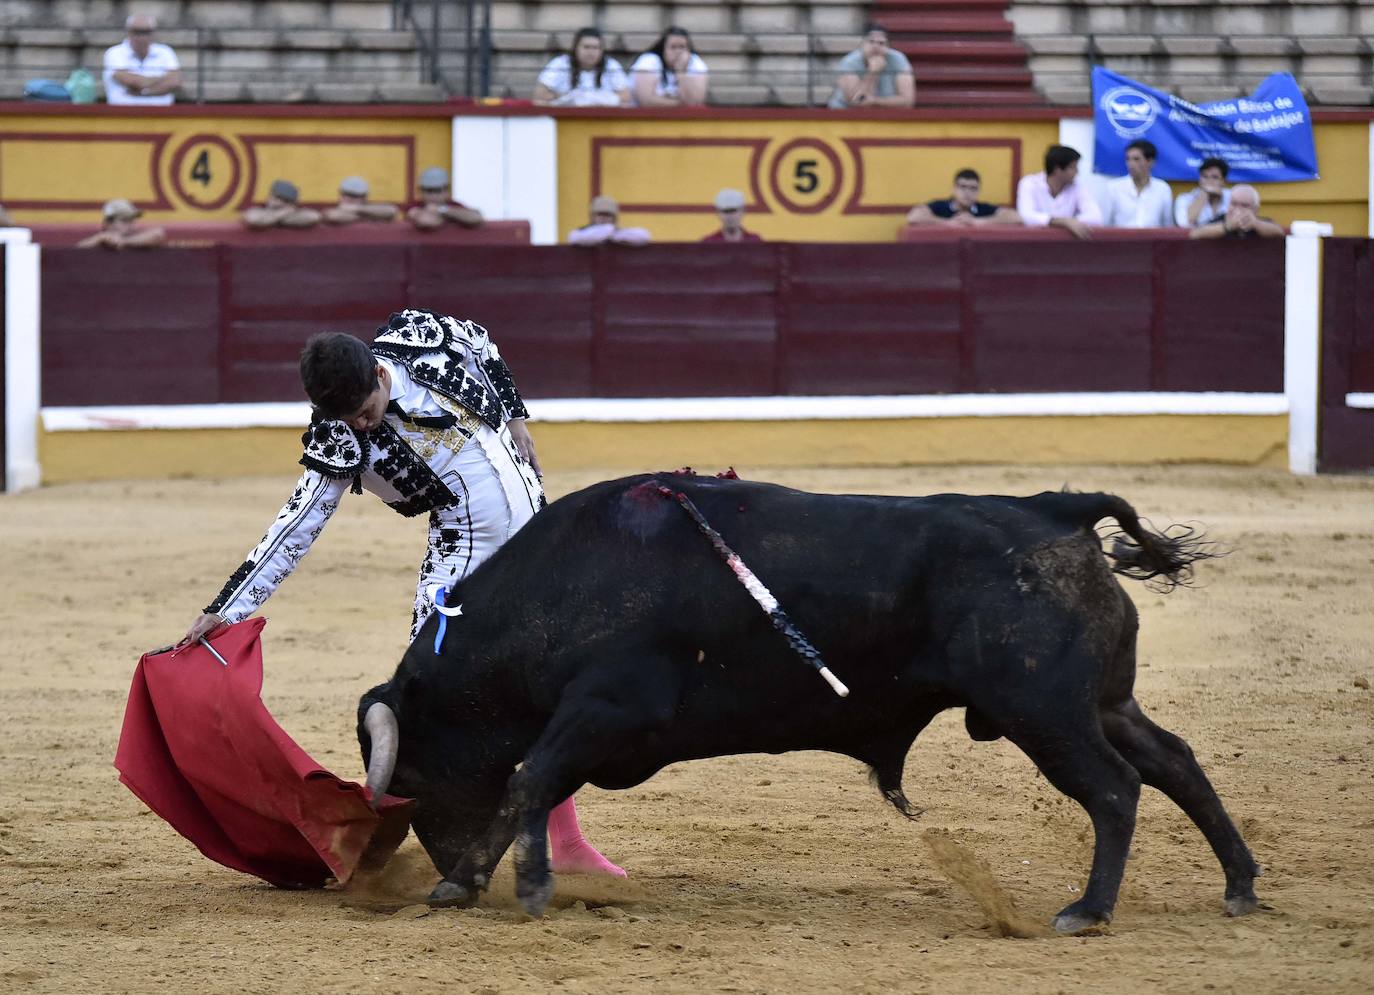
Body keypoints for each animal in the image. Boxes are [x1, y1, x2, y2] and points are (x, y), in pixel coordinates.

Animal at [359, 475, 1258, 934]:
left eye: (411, 780)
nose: (420, 862)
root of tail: (1054, 510)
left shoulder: (607, 707)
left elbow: (527, 779)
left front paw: (478, 883)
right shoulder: (591, 723)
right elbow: (535, 784)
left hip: (1046, 710)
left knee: (1114, 787)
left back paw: (1088, 909)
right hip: (1100, 701)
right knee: (1175, 761)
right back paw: (1241, 885)